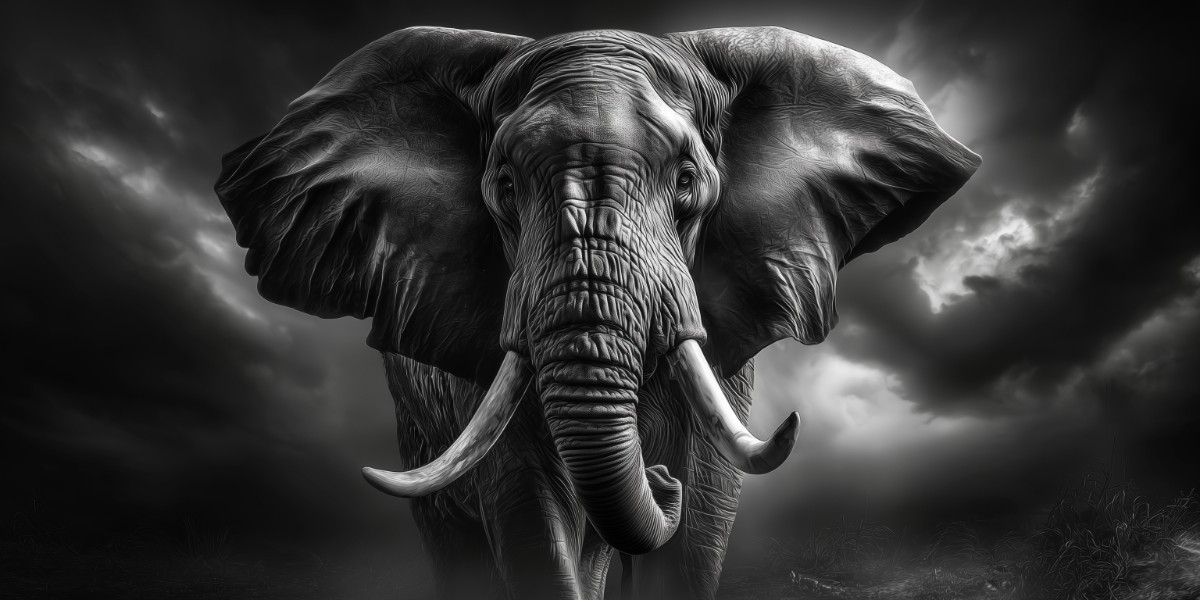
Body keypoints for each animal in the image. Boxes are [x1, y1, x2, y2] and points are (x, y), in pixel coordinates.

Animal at [214, 26, 979, 600]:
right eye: (504, 187)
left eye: (687, 182)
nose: (658, 480)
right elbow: (533, 514)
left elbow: (698, 524)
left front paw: (678, 486)